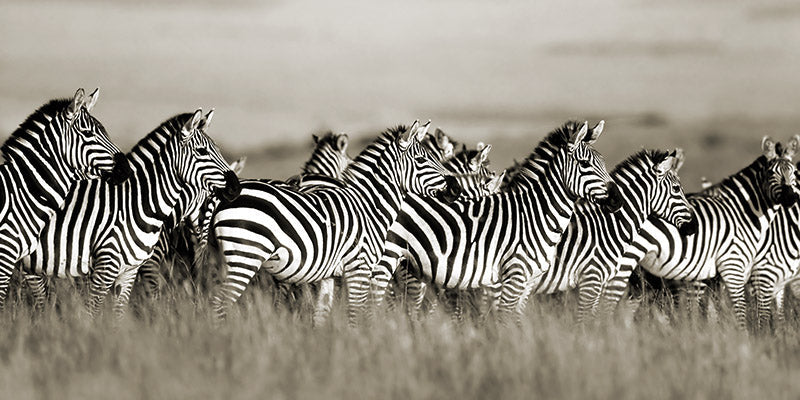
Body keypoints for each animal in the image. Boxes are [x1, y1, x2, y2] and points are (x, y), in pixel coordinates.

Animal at [204, 120, 462, 324]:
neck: (370, 206)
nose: (456, 188)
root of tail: (223, 197)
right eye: (421, 159)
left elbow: (321, 314)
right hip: (244, 257)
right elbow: (356, 313)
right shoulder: (359, 266)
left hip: (223, 260)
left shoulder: (328, 275)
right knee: (218, 304)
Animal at [370, 120, 623, 322]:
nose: (618, 200)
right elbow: (504, 318)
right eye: (585, 164)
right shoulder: (511, 277)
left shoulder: (526, 282)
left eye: (603, 162)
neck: (536, 214)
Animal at [599, 136, 799, 330]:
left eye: (795, 173)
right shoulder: (743, 269)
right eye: (772, 173)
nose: (791, 198)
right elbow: (746, 311)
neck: (742, 212)